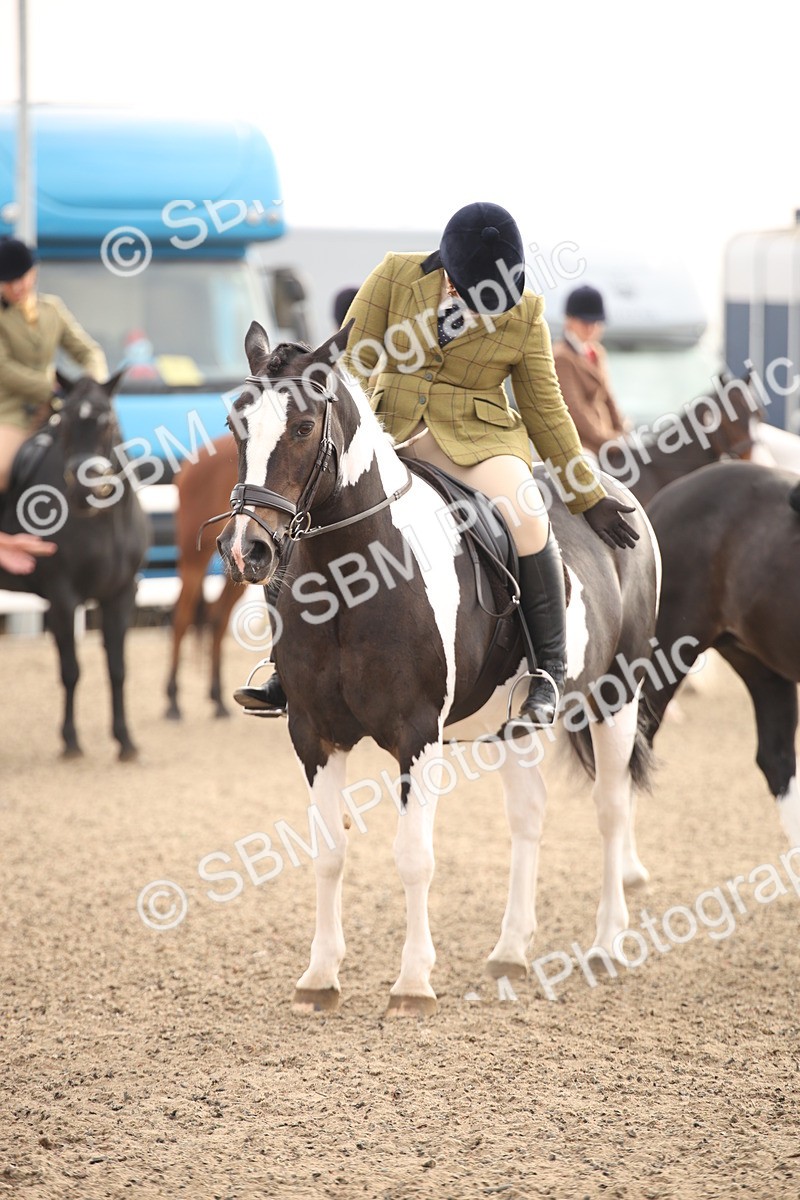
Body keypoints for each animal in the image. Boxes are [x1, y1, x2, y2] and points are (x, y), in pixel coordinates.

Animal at [0, 373, 149, 759]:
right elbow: (71, 670)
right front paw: (70, 741)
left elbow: (117, 668)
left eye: (108, 422)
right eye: (64, 423)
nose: (84, 489)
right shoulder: (63, 598)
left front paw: (125, 740)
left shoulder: (121, 596)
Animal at [210, 320, 660, 1016]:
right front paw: (320, 977)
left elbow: (413, 856)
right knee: (529, 815)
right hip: (516, 724)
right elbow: (328, 852)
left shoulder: (416, 733)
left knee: (611, 809)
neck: (352, 577)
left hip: (616, 697)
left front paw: (413, 983)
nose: (246, 551)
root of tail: (607, 487)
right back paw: (511, 950)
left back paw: (608, 942)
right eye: (237, 423)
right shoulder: (312, 733)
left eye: (304, 427)